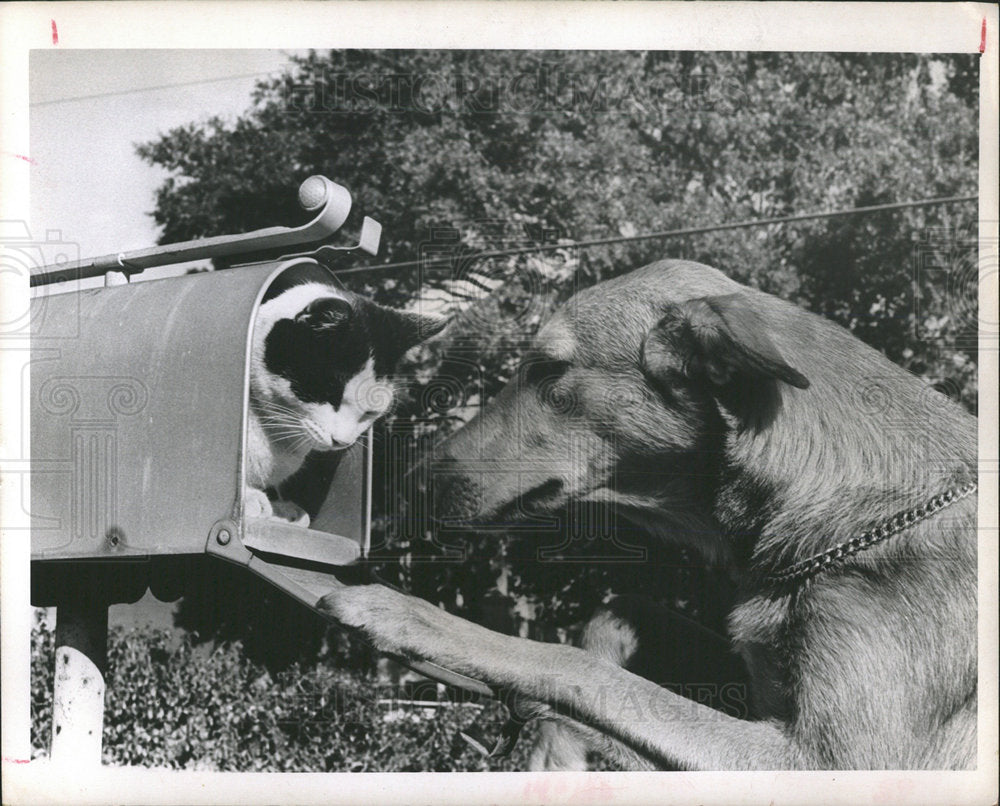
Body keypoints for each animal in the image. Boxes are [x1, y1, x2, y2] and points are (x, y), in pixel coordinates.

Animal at [320, 262, 976, 772]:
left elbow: (571, 663)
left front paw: (403, 613)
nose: (408, 485)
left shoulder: (822, 760)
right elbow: (614, 617)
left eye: (547, 370)